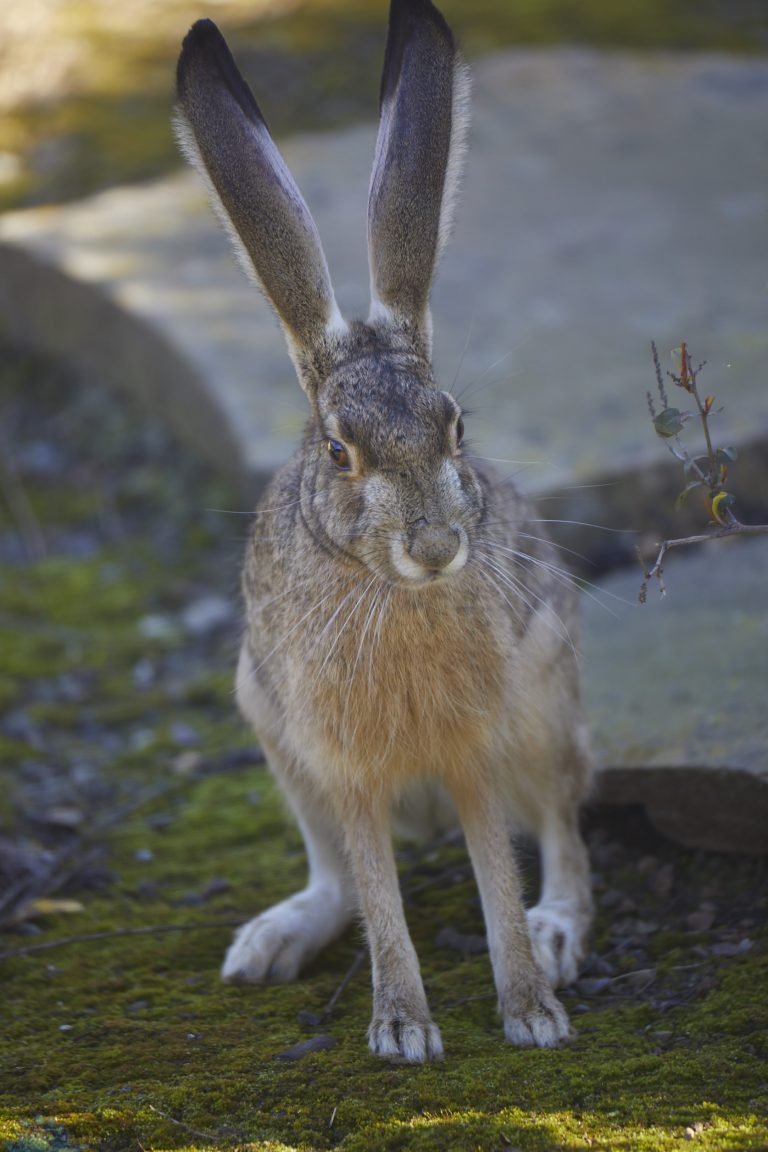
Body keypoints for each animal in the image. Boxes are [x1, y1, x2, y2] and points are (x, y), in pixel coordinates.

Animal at [175, 0, 593, 1064]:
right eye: (338, 453)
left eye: (456, 425)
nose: (437, 547)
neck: (391, 596)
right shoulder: (345, 763)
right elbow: (376, 891)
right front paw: (402, 1029)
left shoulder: (477, 747)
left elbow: (497, 872)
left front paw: (531, 1011)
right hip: (270, 726)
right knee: (333, 878)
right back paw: (268, 945)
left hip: (544, 702)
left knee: (565, 831)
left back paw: (557, 932)